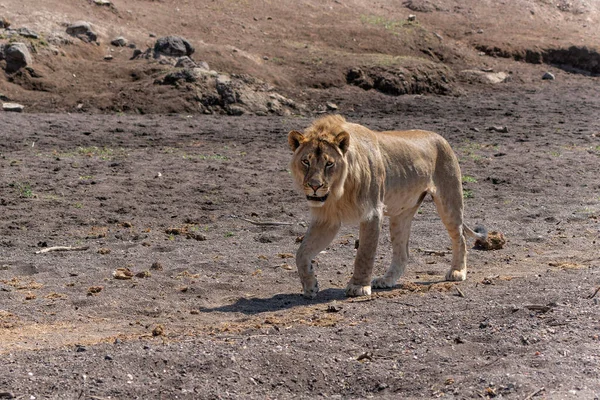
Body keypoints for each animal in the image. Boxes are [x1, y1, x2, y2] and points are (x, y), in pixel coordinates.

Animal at [288, 114, 488, 298]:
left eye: (329, 163)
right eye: (306, 161)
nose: (315, 186)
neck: (339, 190)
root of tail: (441, 138)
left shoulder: (372, 212)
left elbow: (364, 253)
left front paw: (359, 286)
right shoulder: (327, 219)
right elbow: (301, 253)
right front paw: (310, 286)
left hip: (449, 202)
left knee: (460, 237)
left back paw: (457, 271)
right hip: (401, 215)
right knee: (403, 253)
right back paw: (386, 280)